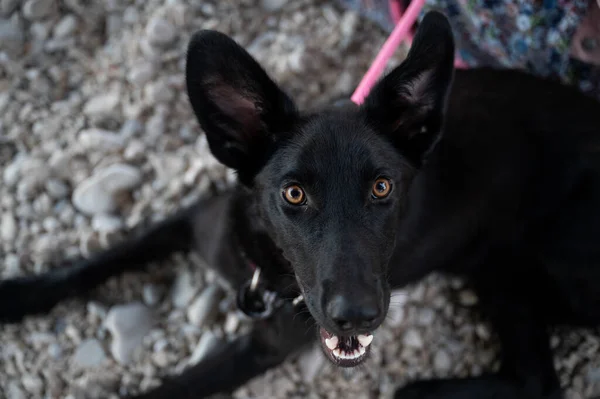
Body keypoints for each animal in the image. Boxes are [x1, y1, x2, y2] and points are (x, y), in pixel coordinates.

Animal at [1, 11, 600, 399]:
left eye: (382, 188)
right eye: (293, 193)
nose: (356, 315)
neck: (263, 264)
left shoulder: (265, 346)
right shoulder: (192, 222)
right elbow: (97, 262)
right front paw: (18, 293)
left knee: (540, 382)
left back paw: (420, 389)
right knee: (536, 379)